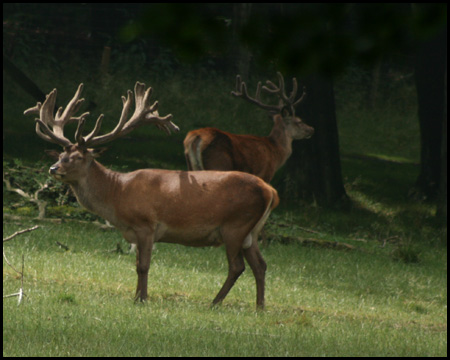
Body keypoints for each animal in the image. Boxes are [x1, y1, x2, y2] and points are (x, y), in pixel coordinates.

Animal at [24, 81, 280, 310]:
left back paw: (215, 303)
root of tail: (271, 191)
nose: (53, 169)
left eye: (77, 157)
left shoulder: (146, 224)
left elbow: (143, 266)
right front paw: (137, 296)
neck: (117, 195)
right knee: (261, 265)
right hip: (251, 231)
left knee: (237, 266)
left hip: (235, 224)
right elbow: (137, 264)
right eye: (60, 155)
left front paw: (142, 299)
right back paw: (259, 306)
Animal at [183, 73, 312, 184]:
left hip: (191, 166)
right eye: (299, 121)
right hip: (218, 164)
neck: (275, 150)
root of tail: (197, 136)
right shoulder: (265, 174)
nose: (311, 129)